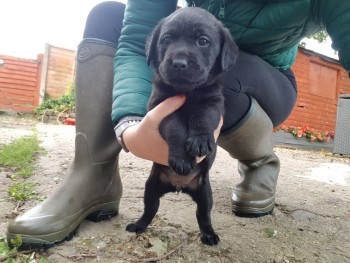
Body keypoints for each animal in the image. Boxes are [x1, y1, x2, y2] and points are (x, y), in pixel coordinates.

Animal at [126, 6, 238, 245]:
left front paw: (200, 141)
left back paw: (209, 235)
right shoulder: (161, 107)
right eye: (167, 40)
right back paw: (139, 225)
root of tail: (179, 186)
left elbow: (202, 117)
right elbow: (175, 127)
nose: (179, 63)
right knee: (150, 209)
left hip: (205, 195)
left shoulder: (213, 104)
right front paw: (182, 159)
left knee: (203, 215)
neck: (187, 92)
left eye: (203, 41)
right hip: (151, 188)